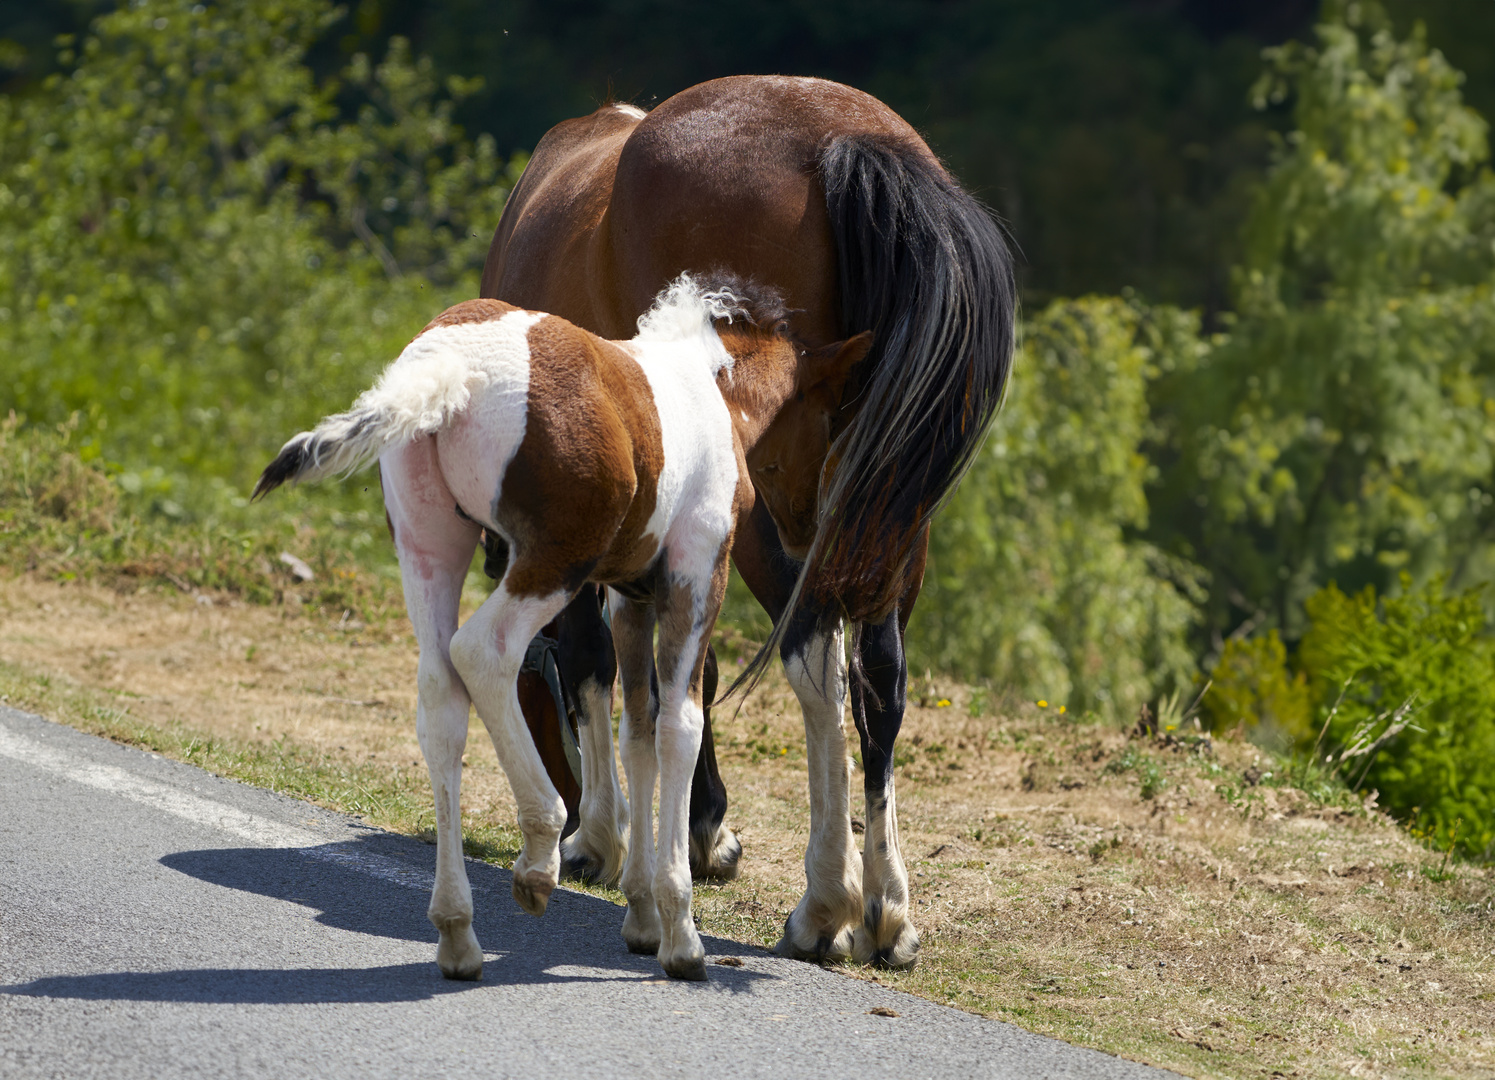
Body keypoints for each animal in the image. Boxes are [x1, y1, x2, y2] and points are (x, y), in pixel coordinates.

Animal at [252, 275, 873, 975]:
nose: (808, 532)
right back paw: (541, 845)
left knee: (440, 695)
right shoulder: (693, 577)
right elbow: (678, 726)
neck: (708, 383)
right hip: (556, 560)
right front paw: (679, 934)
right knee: (483, 652)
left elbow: (637, 730)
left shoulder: (631, 598)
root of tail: (451, 365)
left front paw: (641, 917)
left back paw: (457, 930)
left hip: (428, 545)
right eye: (832, 420)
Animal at [484, 75, 1022, 969]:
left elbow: (609, 665)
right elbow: (678, 676)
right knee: (877, 677)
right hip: (881, 513)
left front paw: (608, 836)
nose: (559, 822)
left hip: (786, 507)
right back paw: (884, 910)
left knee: (814, 659)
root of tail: (842, 141)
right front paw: (694, 834)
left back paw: (824, 903)